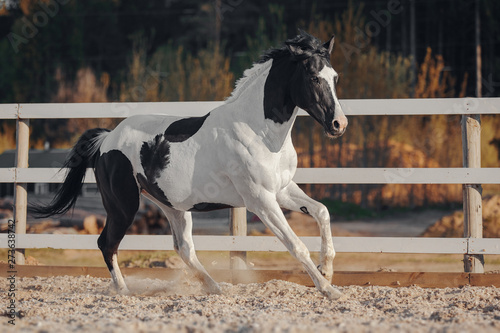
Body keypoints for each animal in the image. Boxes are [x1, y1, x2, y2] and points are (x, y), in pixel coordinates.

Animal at [31, 31, 348, 298]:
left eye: (335, 77)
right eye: (313, 77)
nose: (339, 125)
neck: (259, 131)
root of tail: (106, 140)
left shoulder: (281, 190)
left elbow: (322, 212)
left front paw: (327, 271)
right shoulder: (261, 200)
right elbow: (296, 245)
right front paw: (329, 289)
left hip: (174, 207)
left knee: (183, 248)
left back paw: (214, 287)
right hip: (123, 206)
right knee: (106, 243)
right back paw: (124, 291)